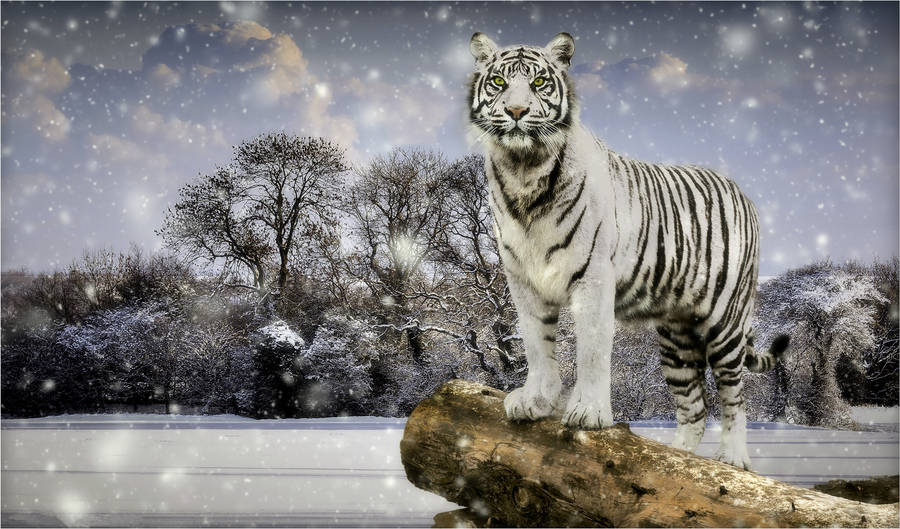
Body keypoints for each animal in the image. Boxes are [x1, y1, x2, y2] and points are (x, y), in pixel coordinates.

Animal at [467, 32, 789, 470]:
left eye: (539, 83)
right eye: (499, 82)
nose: (516, 110)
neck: (524, 171)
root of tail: (740, 190)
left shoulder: (592, 280)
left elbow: (590, 350)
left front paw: (588, 413)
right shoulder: (523, 281)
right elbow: (536, 345)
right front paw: (535, 401)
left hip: (725, 320)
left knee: (733, 394)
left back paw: (733, 459)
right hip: (676, 337)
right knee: (694, 408)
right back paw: (675, 466)